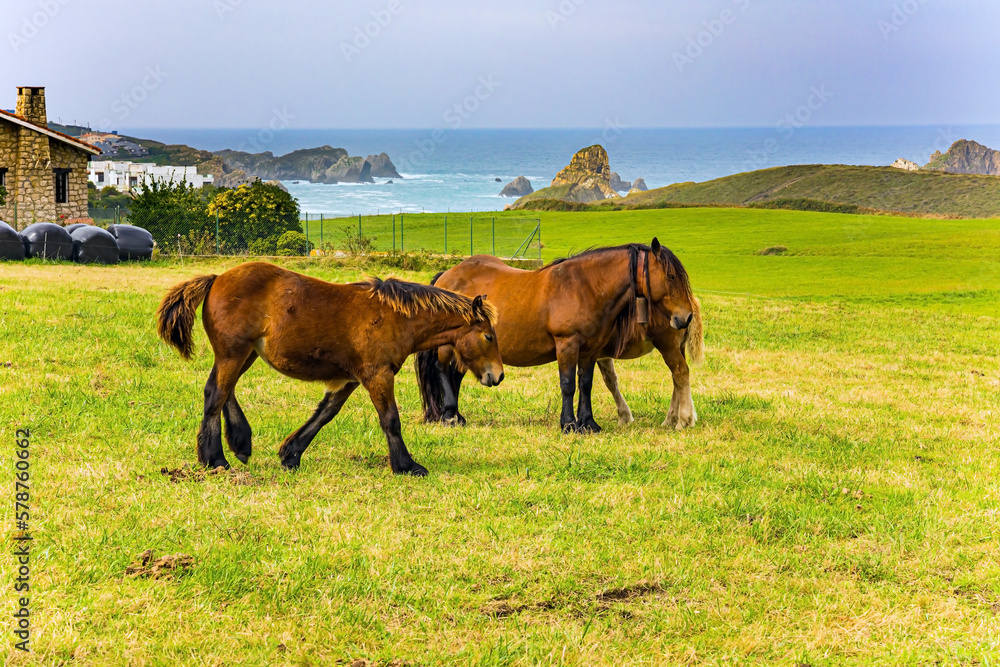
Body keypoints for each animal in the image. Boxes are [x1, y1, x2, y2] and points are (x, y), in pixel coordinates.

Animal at [156, 262, 503, 476]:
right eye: (488, 336)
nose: (497, 375)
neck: (396, 317)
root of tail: (216, 278)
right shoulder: (377, 374)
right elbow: (391, 421)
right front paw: (407, 465)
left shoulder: (349, 379)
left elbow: (324, 414)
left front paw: (290, 454)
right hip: (234, 352)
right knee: (216, 394)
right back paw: (216, 458)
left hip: (245, 355)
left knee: (222, 391)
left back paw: (241, 442)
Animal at [416, 238, 701, 433]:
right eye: (671, 275)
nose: (686, 317)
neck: (585, 287)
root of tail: (447, 276)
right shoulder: (567, 346)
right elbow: (568, 385)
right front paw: (569, 424)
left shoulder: (591, 351)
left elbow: (585, 384)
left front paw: (588, 423)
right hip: (451, 347)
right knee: (443, 369)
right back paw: (449, 416)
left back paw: (457, 416)